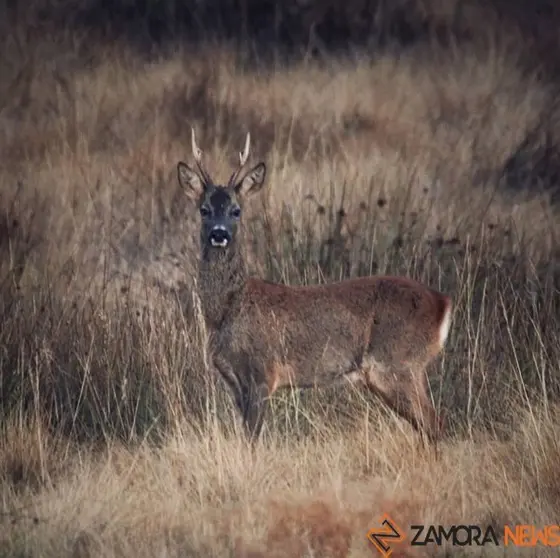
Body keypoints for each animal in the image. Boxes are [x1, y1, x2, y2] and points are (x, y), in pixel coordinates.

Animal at [177, 129, 452, 448]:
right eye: (204, 209)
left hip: (397, 364)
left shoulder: (262, 372)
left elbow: (252, 441)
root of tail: (443, 302)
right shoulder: (234, 383)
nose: (219, 234)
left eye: (236, 210)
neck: (227, 310)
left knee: (435, 424)